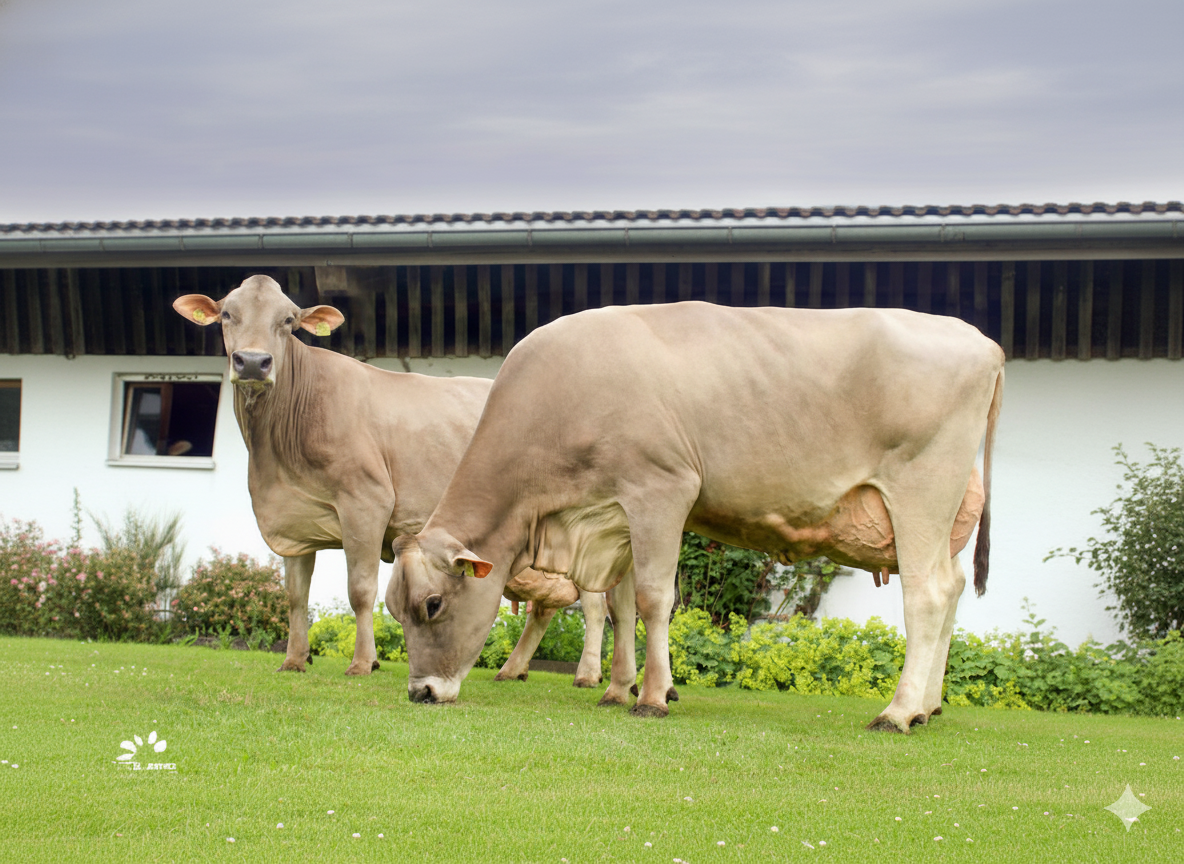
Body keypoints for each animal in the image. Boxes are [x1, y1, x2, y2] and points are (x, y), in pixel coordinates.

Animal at [172, 274, 606, 685]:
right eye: (227, 314)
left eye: (289, 320)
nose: (252, 362)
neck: (275, 456)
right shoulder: (293, 518)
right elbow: (296, 596)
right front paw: (294, 660)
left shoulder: (366, 502)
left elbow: (361, 591)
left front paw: (364, 663)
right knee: (544, 605)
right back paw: (512, 670)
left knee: (596, 603)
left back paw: (587, 675)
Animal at [385, 302, 1003, 733]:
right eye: (395, 609)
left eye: (432, 604)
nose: (420, 693)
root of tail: (980, 339)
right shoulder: (617, 513)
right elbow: (620, 606)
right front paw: (618, 688)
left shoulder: (660, 490)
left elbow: (656, 599)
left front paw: (653, 697)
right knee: (950, 590)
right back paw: (927, 707)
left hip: (922, 492)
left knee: (925, 595)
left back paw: (898, 713)